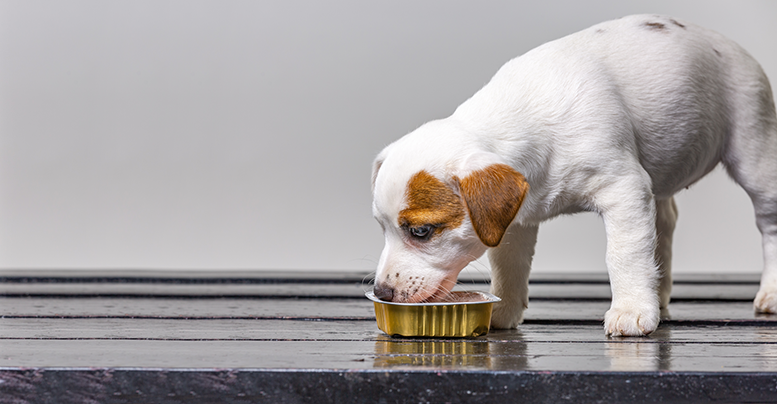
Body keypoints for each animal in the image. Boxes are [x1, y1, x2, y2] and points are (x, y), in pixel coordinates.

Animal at [370, 14, 776, 336]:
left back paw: (769, 292)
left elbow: (625, 253)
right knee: (664, 223)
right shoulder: (514, 221)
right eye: (381, 228)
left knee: (768, 223)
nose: (382, 293)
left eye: (422, 231)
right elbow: (510, 265)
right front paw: (503, 311)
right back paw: (657, 292)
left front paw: (630, 309)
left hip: (754, 150)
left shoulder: (624, 190)